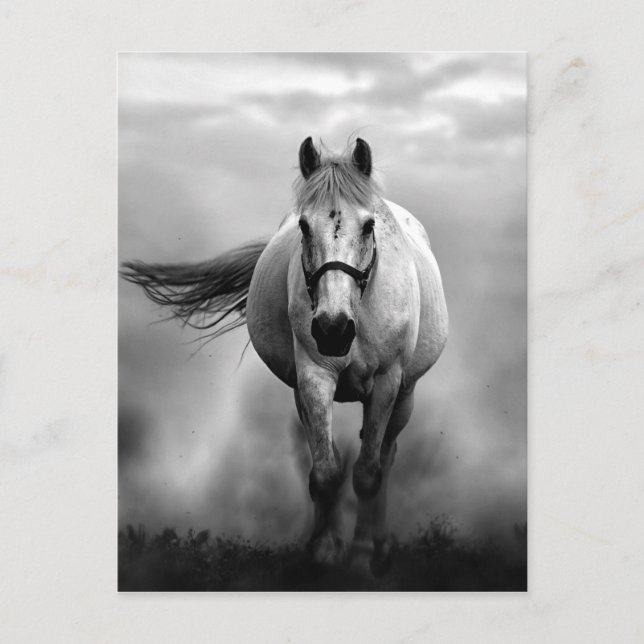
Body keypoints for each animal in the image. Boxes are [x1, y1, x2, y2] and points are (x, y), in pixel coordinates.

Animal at [122, 137, 448, 575]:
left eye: (368, 225)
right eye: (304, 227)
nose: (332, 329)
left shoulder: (386, 382)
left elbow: (367, 474)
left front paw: (362, 559)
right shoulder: (313, 377)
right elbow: (325, 472)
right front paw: (323, 552)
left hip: (405, 395)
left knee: (386, 456)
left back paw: (379, 547)